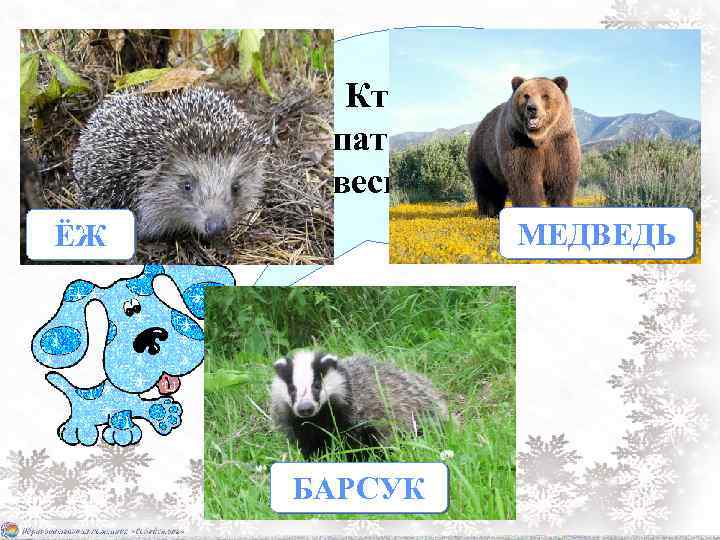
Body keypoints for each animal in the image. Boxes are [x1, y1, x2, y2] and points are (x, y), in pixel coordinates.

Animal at [466, 76, 581, 217]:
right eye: (526, 95)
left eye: (545, 95)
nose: (532, 108)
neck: (540, 138)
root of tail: (478, 128)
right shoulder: (520, 143)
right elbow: (524, 179)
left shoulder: (560, 142)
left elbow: (561, 177)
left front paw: (562, 206)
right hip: (483, 156)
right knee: (487, 187)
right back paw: (489, 213)